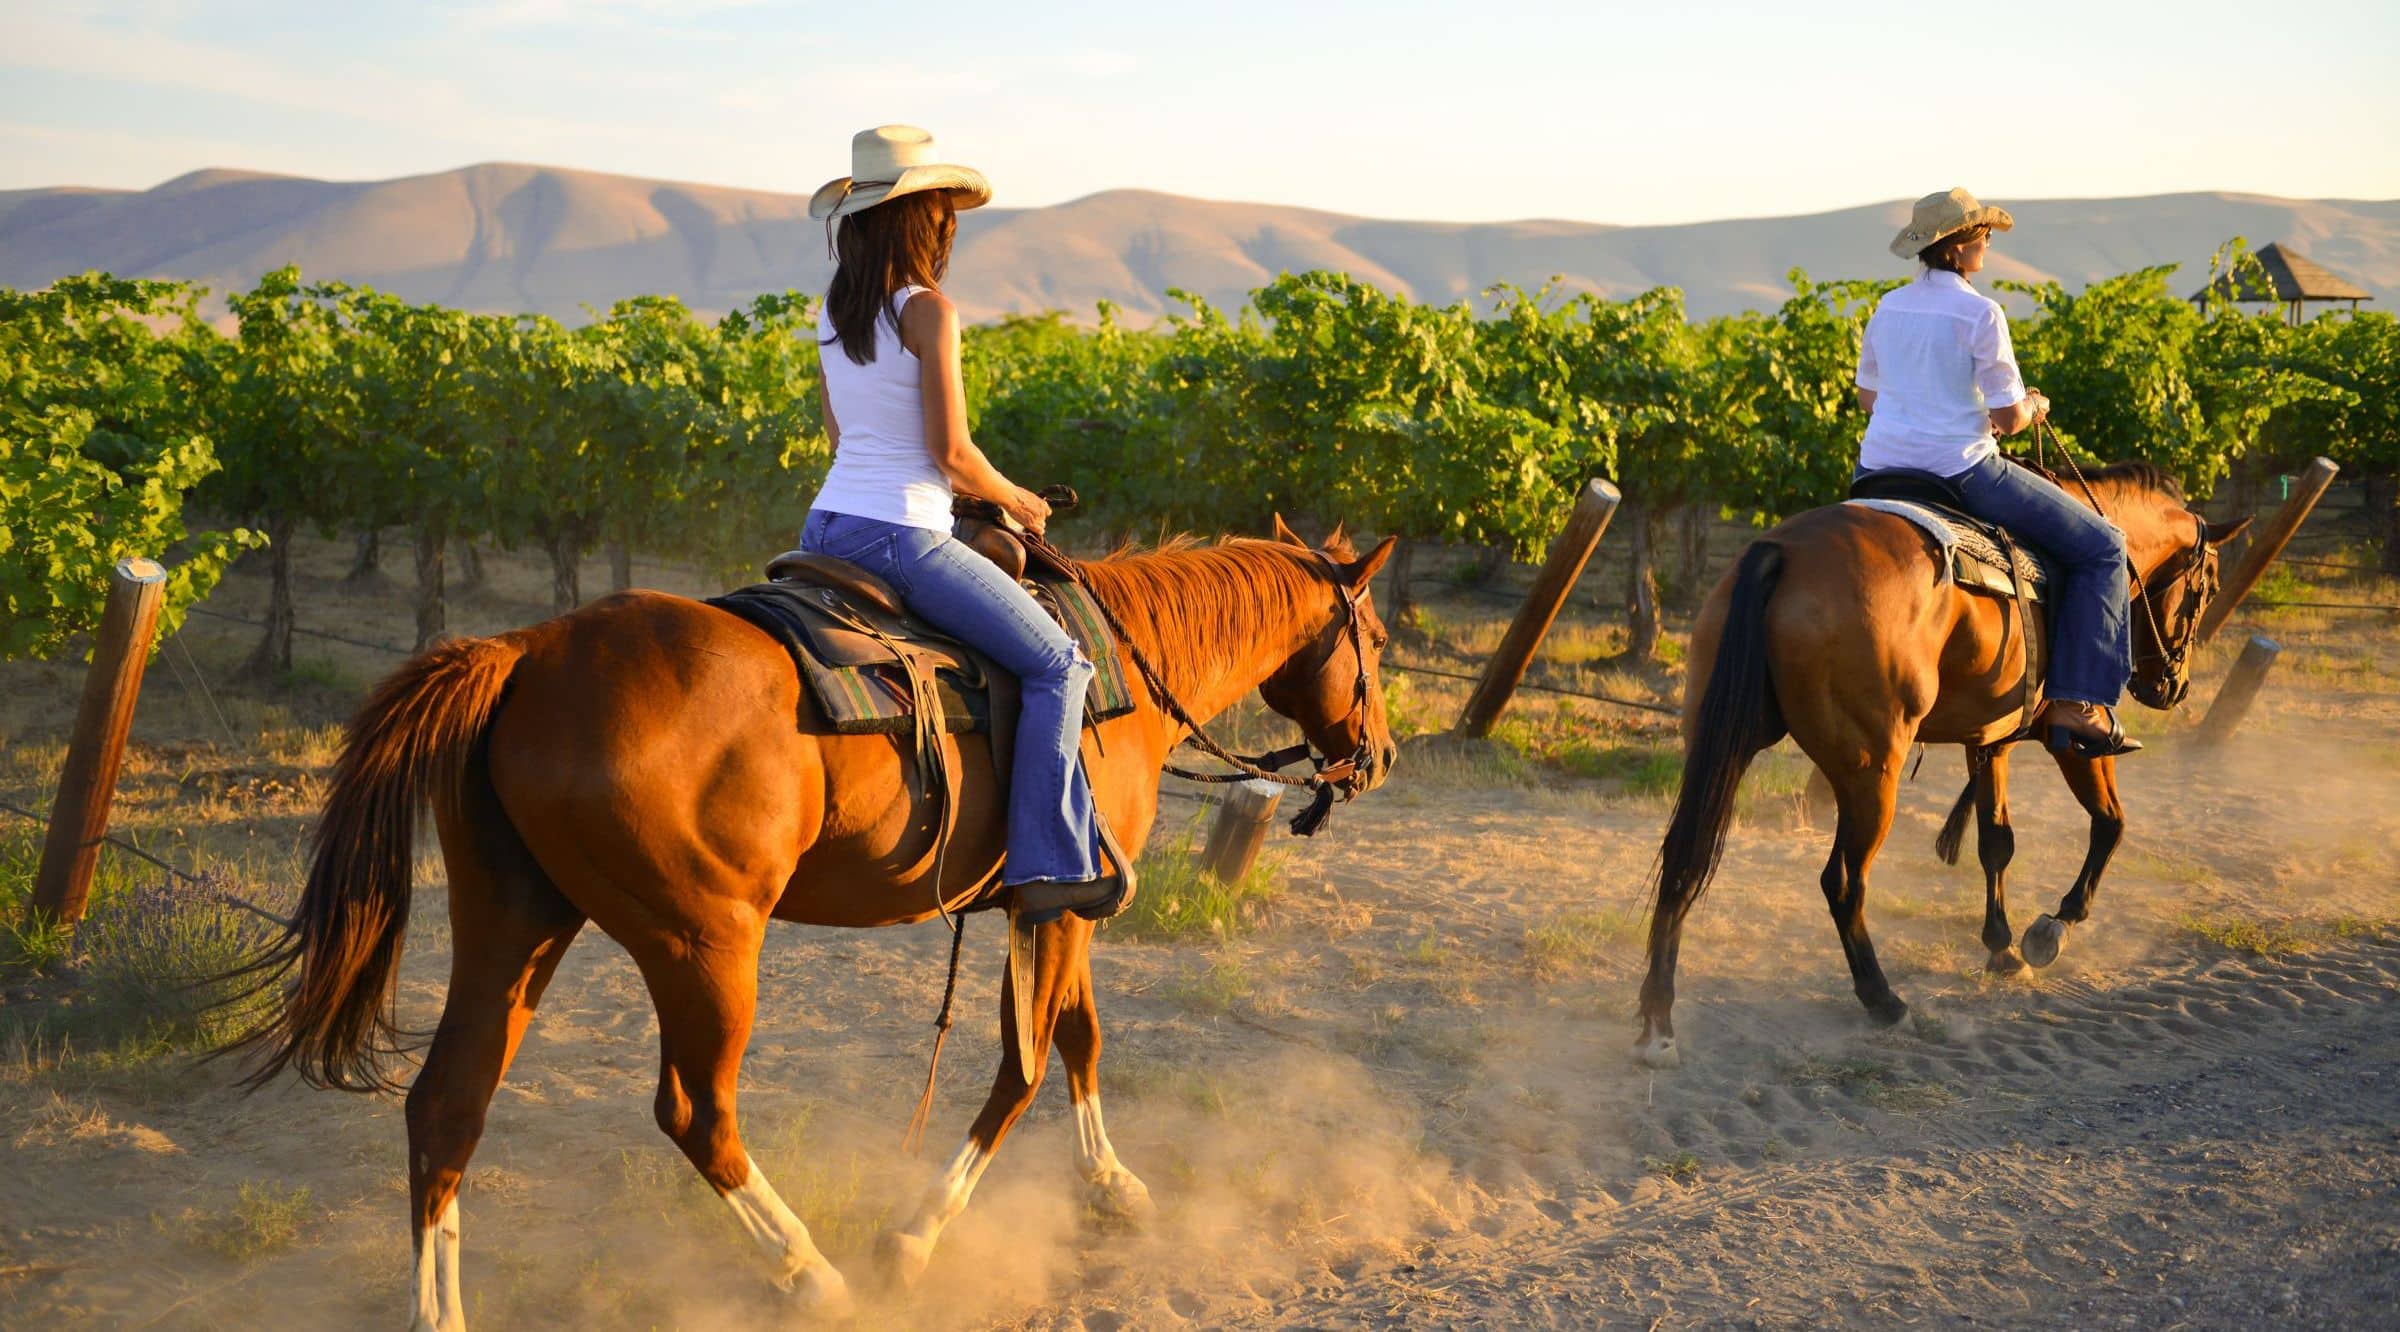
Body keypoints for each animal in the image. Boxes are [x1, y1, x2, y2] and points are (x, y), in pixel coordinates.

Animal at [229, 520, 1392, 1324]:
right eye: (1375, 637)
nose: (1373, 756)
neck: (1117, 671)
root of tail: (528, 653)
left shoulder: (1055, 904)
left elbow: (1074, 1038)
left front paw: (1112, 1186)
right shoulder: (1065, 904)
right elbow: (1022, 1068)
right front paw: (914, 1241)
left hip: (516, 922)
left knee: (447, 1107)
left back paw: (444, 1311)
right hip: (702, 947)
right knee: (695, 1113)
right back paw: (809, 1273)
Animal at [1632, 463, 2246, 1070]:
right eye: (2210, 587)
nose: (2173, 687)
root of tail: (1781, 552)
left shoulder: (1990, 741)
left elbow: (1996, 842)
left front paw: (2001, 948)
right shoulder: (2071, 741)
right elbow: (2110, 823)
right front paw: (2053, 927)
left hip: (1722, 742)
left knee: (1684, 858)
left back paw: (1657, 1023)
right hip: (1872, 772)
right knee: (1843, 882)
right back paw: (1884, 1001)